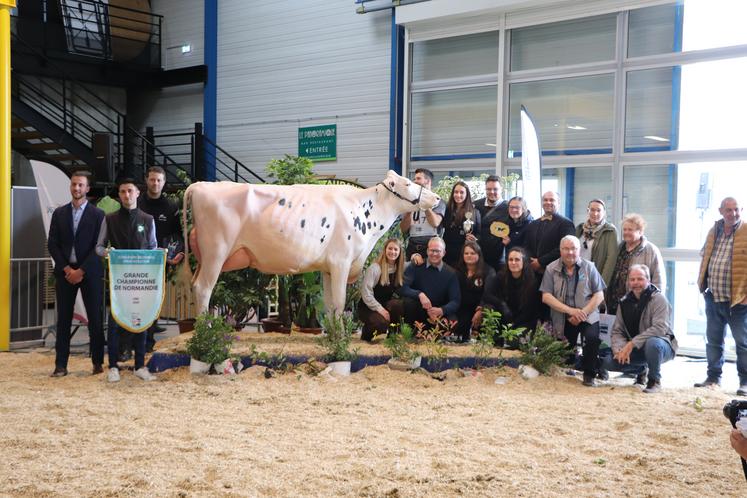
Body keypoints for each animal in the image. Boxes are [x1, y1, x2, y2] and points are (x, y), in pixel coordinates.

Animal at [180, 169, 438, 314]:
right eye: (408, 183)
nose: (436, 197)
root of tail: (200, 185)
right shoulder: (341, 262)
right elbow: (341, 303)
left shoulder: (328, 267)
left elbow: (330, 305)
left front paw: (333, 338)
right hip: (216, 252)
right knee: (203, 289)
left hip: (205, 257)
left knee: (195, 285)